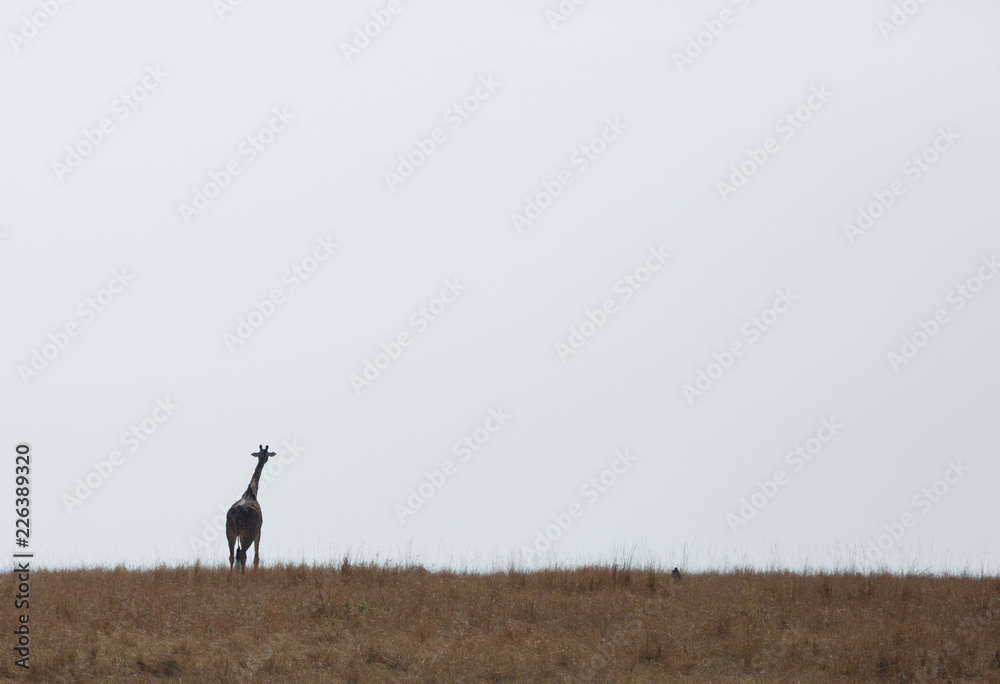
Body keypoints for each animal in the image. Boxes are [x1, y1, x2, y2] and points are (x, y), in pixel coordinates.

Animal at [226, 444, 274, 573]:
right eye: (267, 455)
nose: (264, 459)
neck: (252, 493)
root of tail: (236, 517)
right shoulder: (259, 530)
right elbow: (256, 557)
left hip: (230, 532)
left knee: (231, 555)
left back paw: (230, 576)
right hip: (247, 534)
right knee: (243, 554)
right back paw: (243, 575)